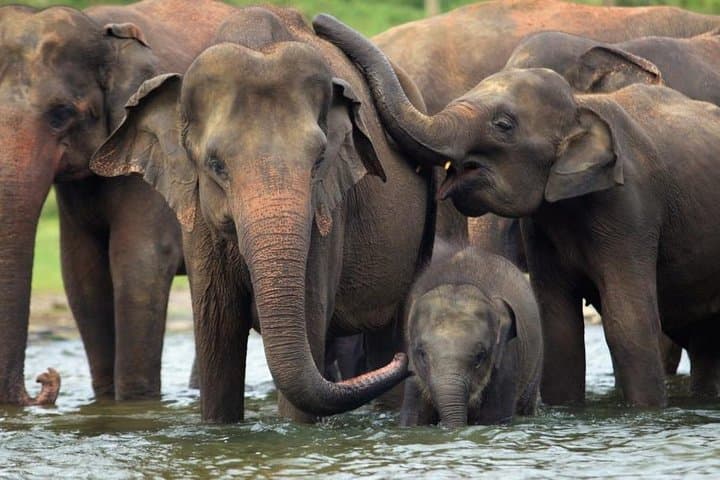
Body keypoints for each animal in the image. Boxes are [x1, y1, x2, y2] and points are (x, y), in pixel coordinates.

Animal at [0, 0, 239, 406]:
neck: (101, 30)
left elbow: (139, 261)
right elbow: (81, 272)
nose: (45, 379)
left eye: (61, 114)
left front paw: (136, 403)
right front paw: (104, 401)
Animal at [90, 6, 437, 423]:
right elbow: (218, 334)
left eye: (319, 159)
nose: (405, 360)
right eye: (216, 165)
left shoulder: (327, 215)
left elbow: (307, 327)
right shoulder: (198, 218)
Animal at [315, 15, 720, 407]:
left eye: (504, 125)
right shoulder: (542, 228)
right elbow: (559, 329)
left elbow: (629, 324)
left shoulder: (630, 209)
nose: (319, 21)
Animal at [400, 246, 541, 427]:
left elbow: (494, 417)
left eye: (480, 357)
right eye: (422, 354)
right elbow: (412, 417)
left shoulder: (506, 362)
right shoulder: (414, 375)